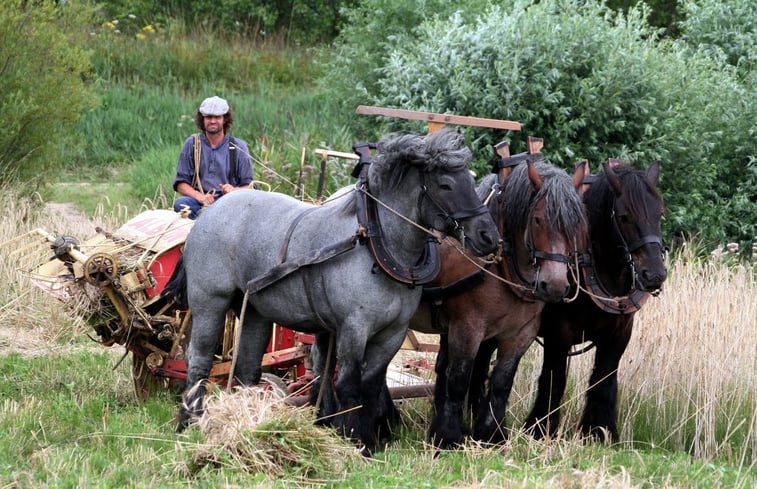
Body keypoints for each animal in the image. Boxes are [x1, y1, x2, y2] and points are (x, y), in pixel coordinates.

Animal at [168, 128, 499, 455]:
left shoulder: (392, 333)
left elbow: (371, 384)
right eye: (445, 184)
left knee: (247, 368)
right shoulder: (353, 328)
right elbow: (349, 384)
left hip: (254, 310)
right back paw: (189, 422)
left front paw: (370, 438)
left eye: (471, 179)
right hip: (210, 302)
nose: (489, 236)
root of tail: (210, 212)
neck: (375, 244)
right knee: (199, 360)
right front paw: (354, 437)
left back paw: (249, 421)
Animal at [410, 156, 588, 448]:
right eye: (538, 220)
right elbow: (459, 378)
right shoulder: (467, 328)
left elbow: (502, 381)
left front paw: (490, 433)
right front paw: (448, 436)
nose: (555, 286)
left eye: (577, 225)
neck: (502, 266)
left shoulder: (521, 333)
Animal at [514, 160, 667, 441]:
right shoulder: (558, 334)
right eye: (624, 216)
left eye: (659, 214)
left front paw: (599, 431)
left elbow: (603, 380)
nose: (654, 274)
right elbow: (553, 380)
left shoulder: (619, 334)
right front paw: (539, 429)